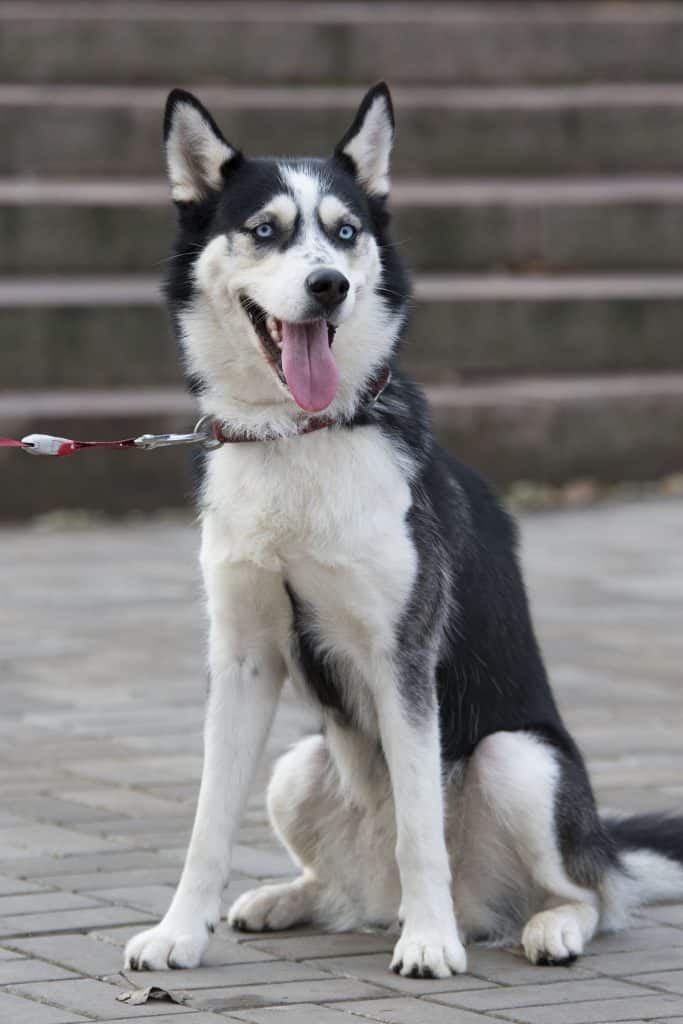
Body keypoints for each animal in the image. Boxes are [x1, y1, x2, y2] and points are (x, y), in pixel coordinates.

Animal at [125, 79, 683, 974]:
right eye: (264, 230)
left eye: (345, 232)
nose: (328, 285)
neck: (299, 436)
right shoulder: (243, 661)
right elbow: (207, 824)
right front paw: (179, 933)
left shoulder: (402, 661)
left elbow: (421, 827)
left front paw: (429, 943)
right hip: (297, 766)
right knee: (336, 885)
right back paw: (288, 899)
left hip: (520, 760)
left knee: (595, 896)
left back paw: (537, 926)